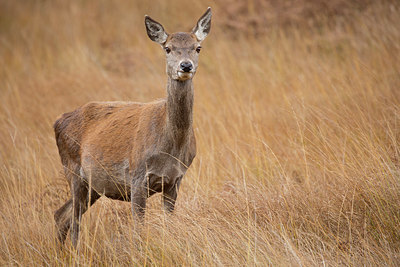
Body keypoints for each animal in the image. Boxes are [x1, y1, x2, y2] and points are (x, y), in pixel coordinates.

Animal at [53, 7, 212, 249]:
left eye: (197, 47)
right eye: (167, 48)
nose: (186, 66)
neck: (171, 146)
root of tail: (58, 121)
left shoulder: (175, 180)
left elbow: (168, 224)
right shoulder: (137, 177)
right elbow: (139, 228)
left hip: (93, 185)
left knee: (61, 215)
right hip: (72, 171)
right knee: (73, 219)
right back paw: (74, 252)